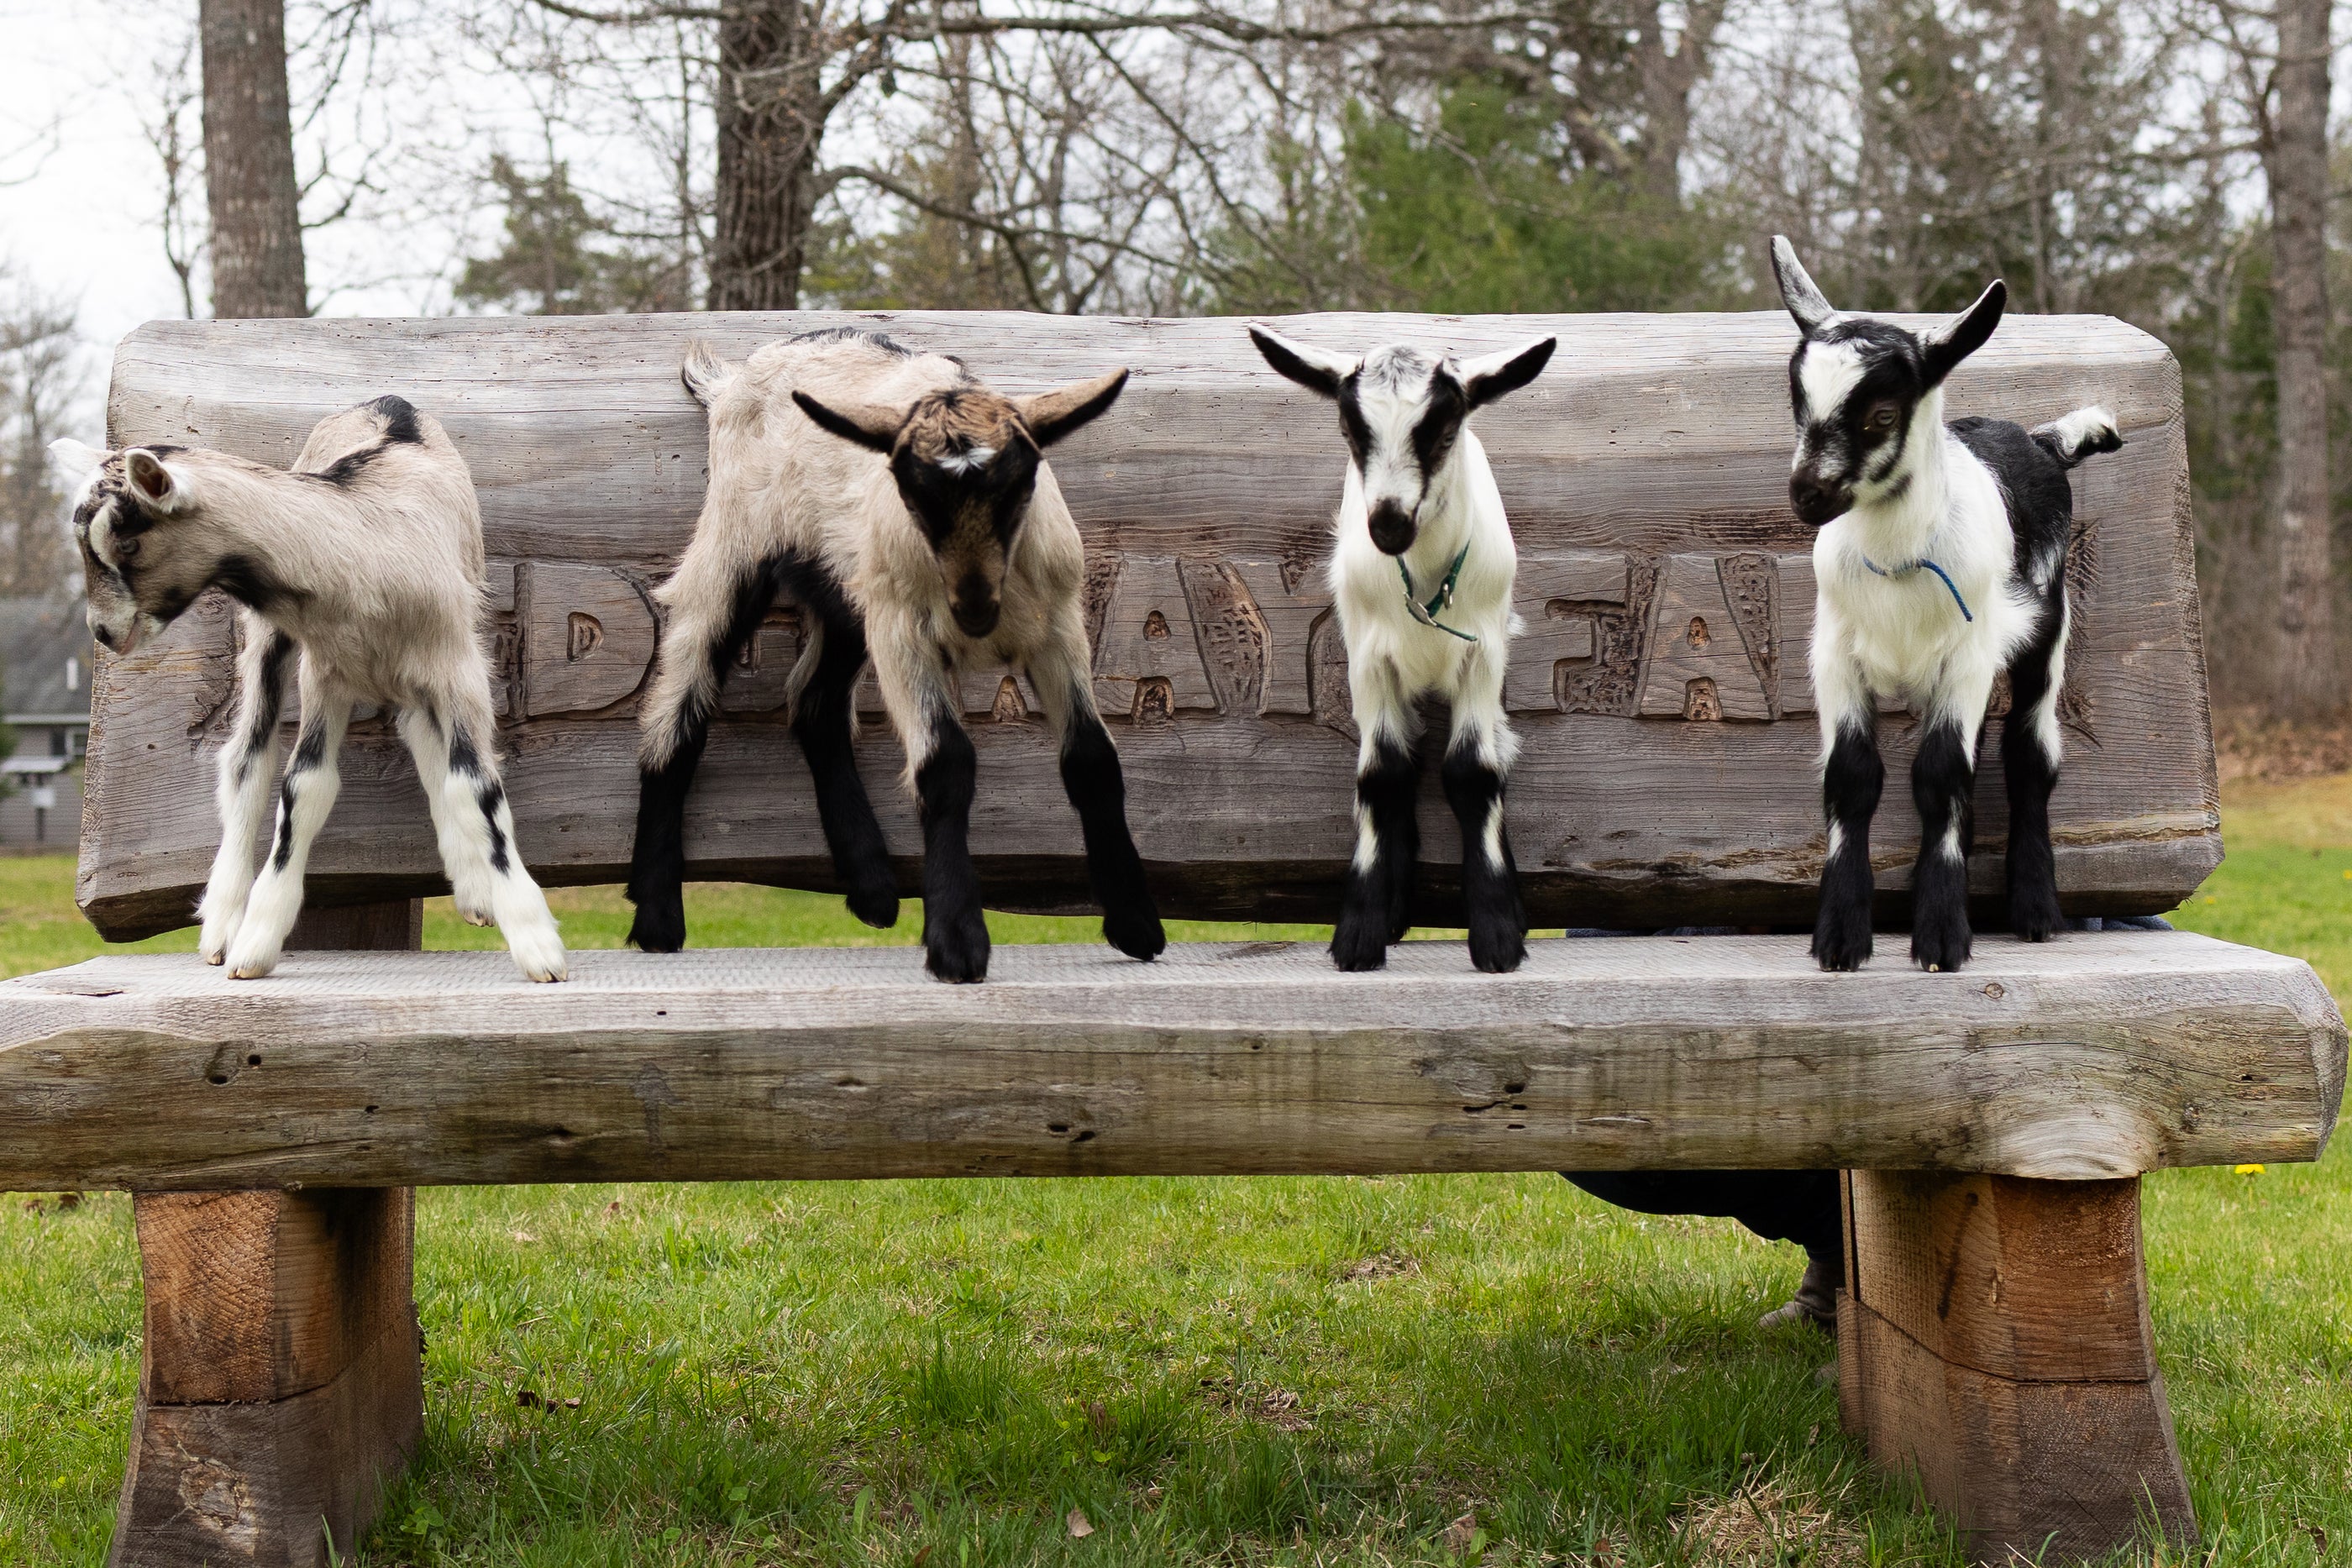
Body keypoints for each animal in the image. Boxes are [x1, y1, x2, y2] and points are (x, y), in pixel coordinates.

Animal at [50, 397, 568, 982]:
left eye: (129, 541)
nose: (102, 632)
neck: (365, 546)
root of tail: (386, 402)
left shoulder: (456, 666)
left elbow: (475, 786)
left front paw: (536, 942)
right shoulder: (324, 676)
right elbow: (304, 786)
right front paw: (255, 941)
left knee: (424, 737)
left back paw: (475, 887)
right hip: (268, 644)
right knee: (248, 759)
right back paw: (223, 922)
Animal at [628, 328, 1165, 983]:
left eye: (1017, 488)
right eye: (914, 493)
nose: (974, 607)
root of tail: (731, 381)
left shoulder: (1059, 627)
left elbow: (1092, 757)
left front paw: (1136, 922)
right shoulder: (904, 635)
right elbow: (946, 763)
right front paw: (957, 943)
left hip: (845, 589)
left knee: (815, 702)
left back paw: (873, 888)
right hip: (735, 544)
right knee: (679, 704)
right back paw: (657, 915)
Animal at [1249, 326, 1556, 974]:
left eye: (1442, 432)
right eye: (1349, 431)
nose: (1388, 525)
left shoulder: (1482, 653)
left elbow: (1473, 771)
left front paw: (1498, 932)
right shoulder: (1369, 659)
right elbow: (1382, 775)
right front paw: (1361, 930)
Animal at [1770, 236, 2123, 973]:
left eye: (1880, 414)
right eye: (1797, 404)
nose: (1807, 494)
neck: (1899, 562)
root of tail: (2040, 442)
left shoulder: (1966, 656)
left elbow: (1939, 776)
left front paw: (1940, 939)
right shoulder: (1834, 654)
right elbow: (1852, 778)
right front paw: (1840, 938)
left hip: (2044, 632)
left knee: (2029, 755)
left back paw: (2036, 911)